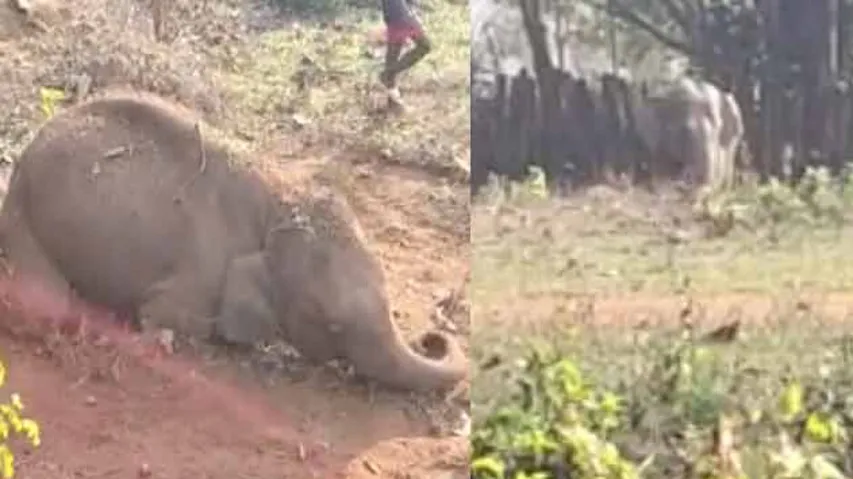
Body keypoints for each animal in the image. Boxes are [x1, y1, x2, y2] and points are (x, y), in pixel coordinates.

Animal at [0, 90, 467, 393]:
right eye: (331, 322)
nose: (431, 337)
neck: (278, 199)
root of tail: (24, 156)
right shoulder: (199, 272)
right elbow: (170, 317)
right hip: (27, 221)